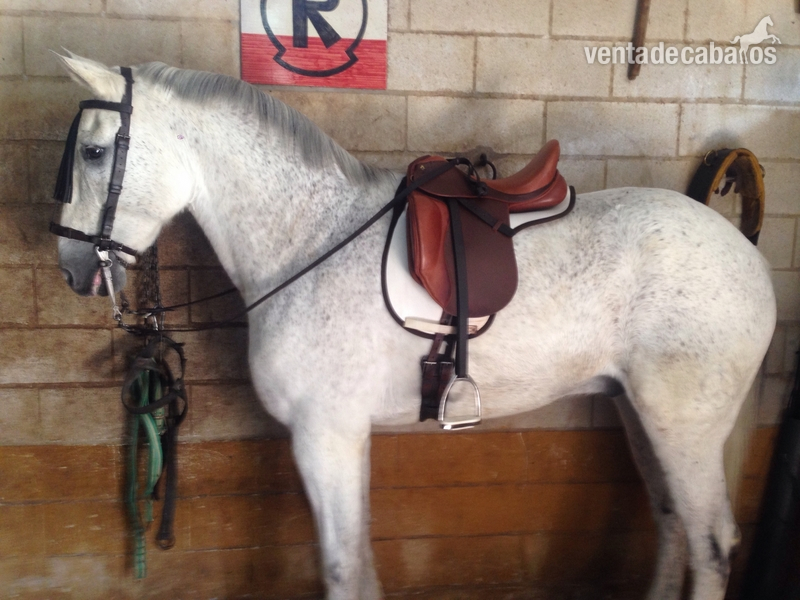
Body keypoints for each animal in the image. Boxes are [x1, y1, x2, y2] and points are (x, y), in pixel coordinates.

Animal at [51, 53, 776, 600]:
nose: (73, 268)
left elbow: (344, 571)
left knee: (711, 544)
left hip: (683, 426)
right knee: (674, 525)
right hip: (639, 414)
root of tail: (747, 255)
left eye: (94, 151)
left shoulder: (326, 436)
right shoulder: (341, 438)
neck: (308, 237)